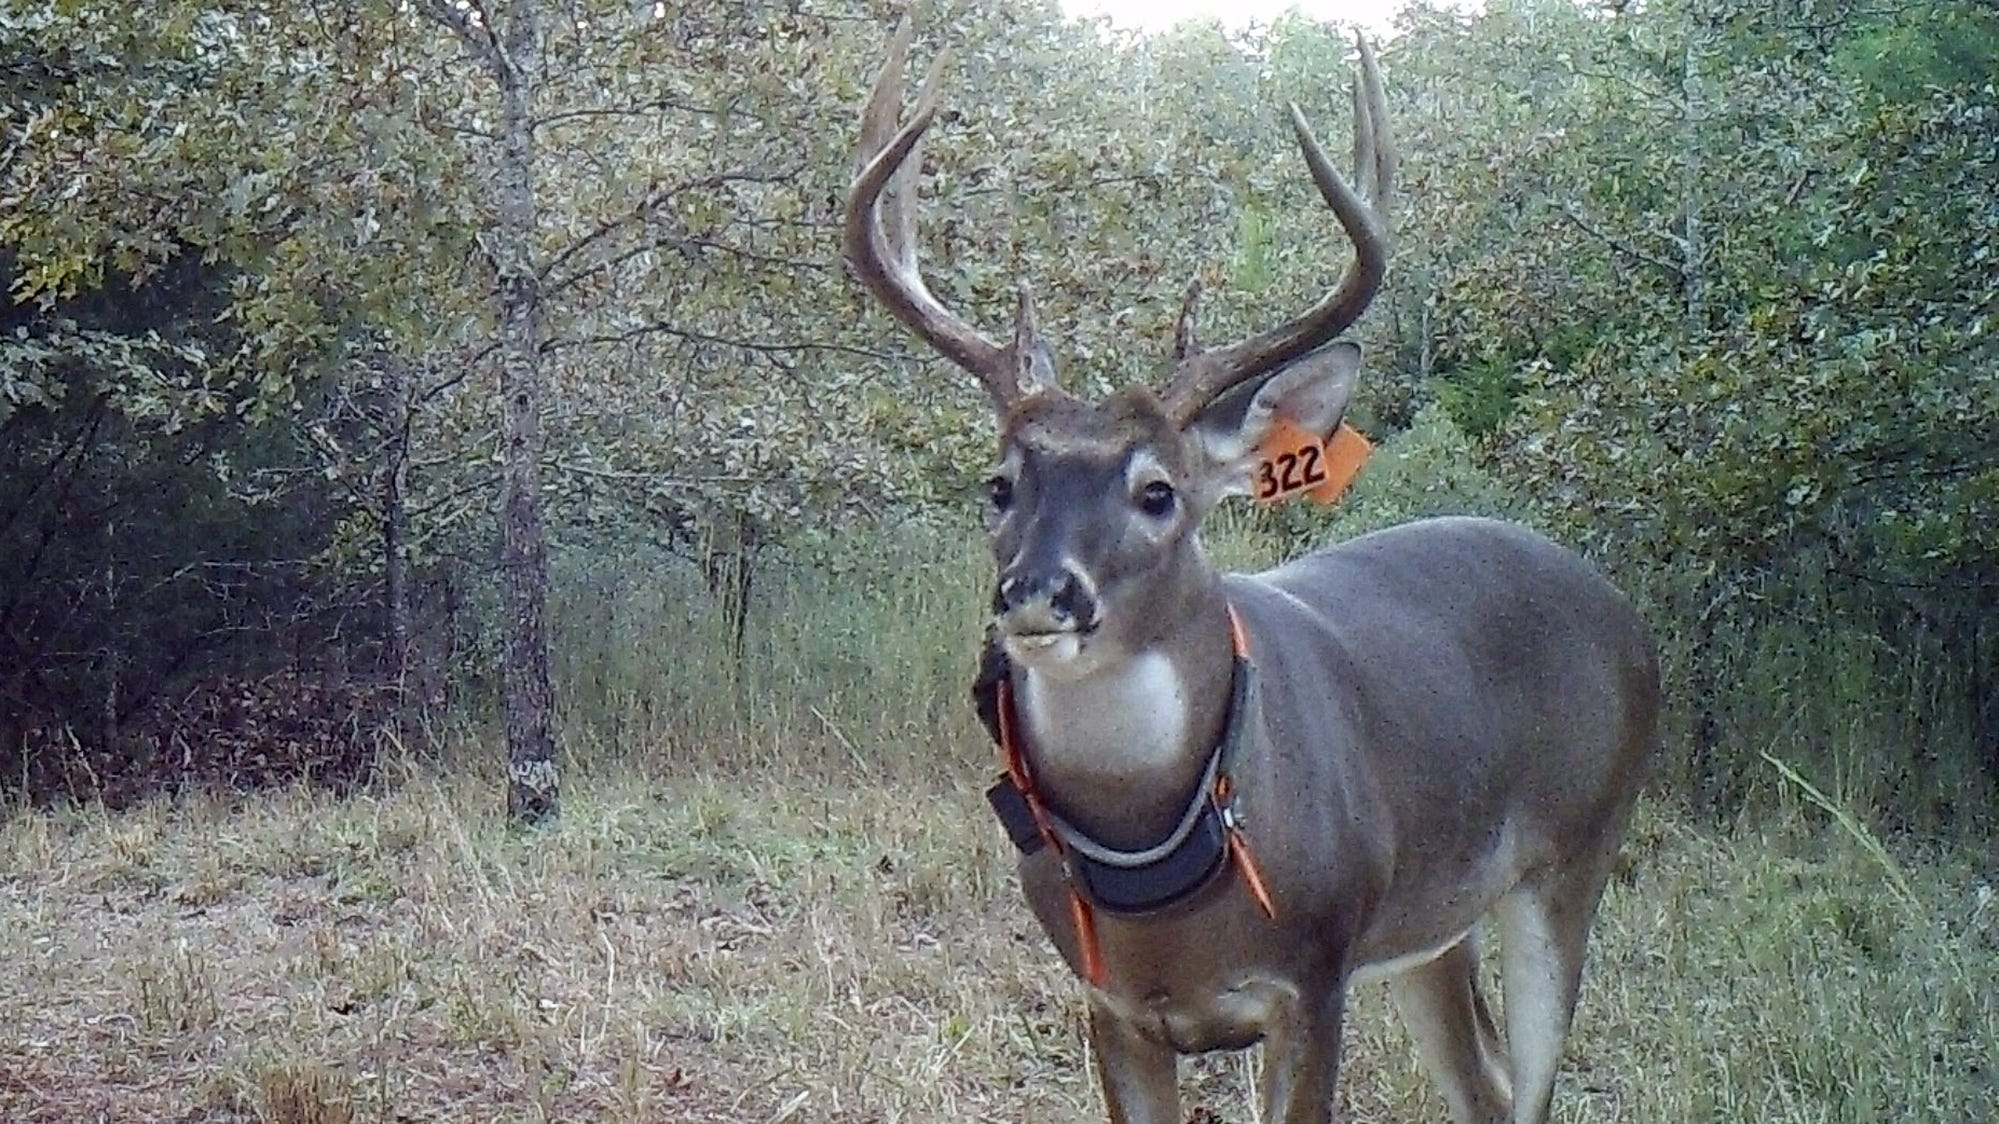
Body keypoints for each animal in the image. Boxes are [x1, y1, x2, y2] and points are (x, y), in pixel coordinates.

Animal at [843, 22, 1661, 1124]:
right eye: (999, 483)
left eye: (1157, 492)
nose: (1038, 593)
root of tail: (1623, 613)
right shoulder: (1110, 1003)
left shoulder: (1311, 975)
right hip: (1432, 920)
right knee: (1483, 1084)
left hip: (1576, 850)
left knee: (1530, 1084)